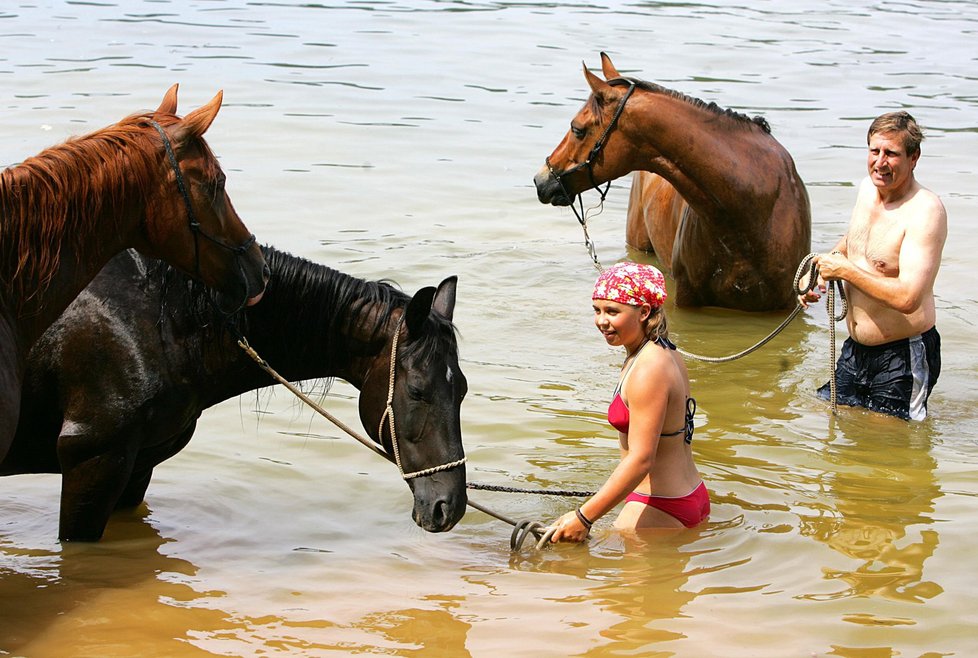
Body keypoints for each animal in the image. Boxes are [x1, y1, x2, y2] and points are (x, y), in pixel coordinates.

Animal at [2, 245, 468, 540]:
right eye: (417, 389)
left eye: (461, 389)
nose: (449, 505)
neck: (159, 323)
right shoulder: (93, 463)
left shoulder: (136, 467)